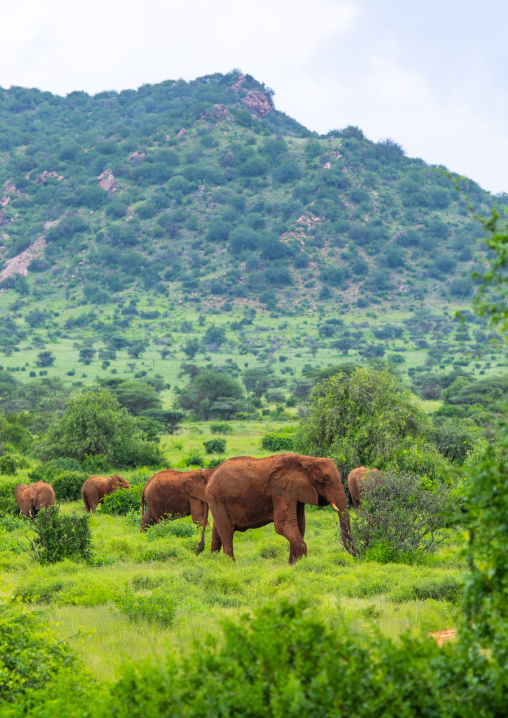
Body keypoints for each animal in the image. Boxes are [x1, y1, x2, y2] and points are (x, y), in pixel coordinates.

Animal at [204, 453, 353, 564]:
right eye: (325, 479)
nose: (354, 554)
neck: (305, 459)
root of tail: (211, 474)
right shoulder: (279, 491)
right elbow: (284, 525)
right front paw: (302, 564)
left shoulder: (295, 490)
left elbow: (300, 524)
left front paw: (293, 564)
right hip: (217, 498)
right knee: (227, 531)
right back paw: (230, 564)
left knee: (217, 531)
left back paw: (214, 562)